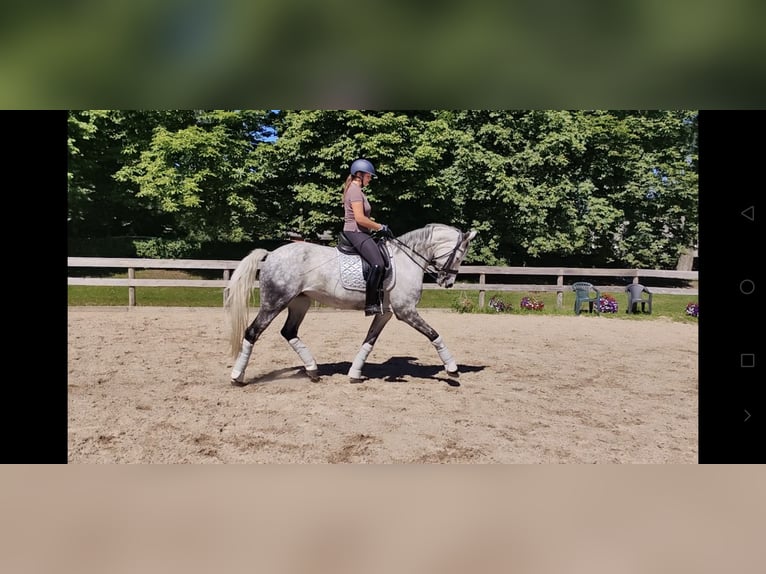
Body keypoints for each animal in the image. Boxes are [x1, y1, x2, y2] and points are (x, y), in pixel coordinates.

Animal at [225, 223, 476, 384]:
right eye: (460, 255)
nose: (448, 282)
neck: (407, 260)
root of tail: (271, 254)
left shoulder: (385, 313)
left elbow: (369, 341)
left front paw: (354, 373)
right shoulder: (406, 311)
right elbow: (434, 335)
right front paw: (452, 370)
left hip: (299, 303)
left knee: (289, 332)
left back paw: (313, 370)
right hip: (275, 302)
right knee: (252, 332)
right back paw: (237, 377)